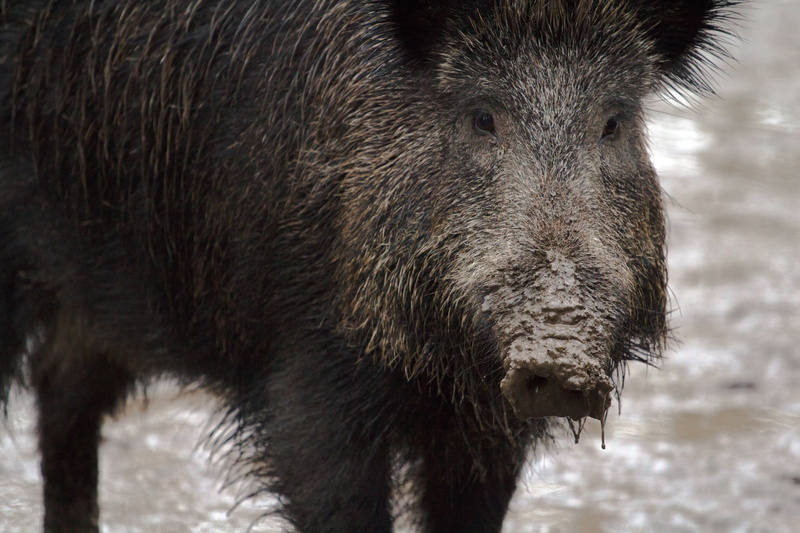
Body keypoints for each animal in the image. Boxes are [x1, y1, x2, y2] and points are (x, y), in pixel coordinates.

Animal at [0, 0, 738, 531]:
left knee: (63, 388)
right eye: (482, 117)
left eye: (613, 123)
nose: (559, 356)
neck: (438, 370)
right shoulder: (309, 376)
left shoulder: (487, 428)